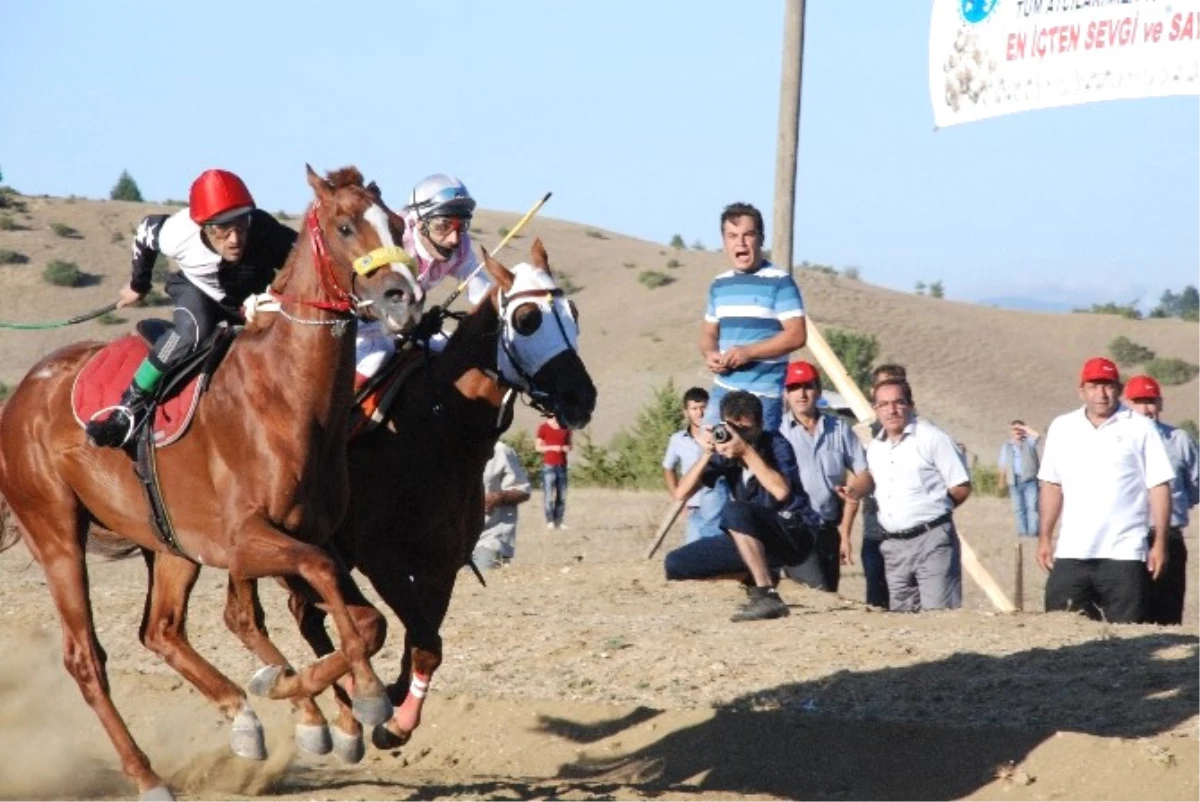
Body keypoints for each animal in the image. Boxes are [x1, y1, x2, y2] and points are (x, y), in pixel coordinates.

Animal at [0, 164, 427, 802]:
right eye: (346, 226)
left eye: (398, 224)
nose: (404, 296)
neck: (284, 397)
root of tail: (23, 394)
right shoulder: (248, 539)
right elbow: (314, 596)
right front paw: (335, 697)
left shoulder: (307, 536)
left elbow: (365, 621)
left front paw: (312, 704)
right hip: (56, 535)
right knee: (86, 658)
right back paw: (148, 774)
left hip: (169, 544)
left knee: (161, 631)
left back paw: (243, 717)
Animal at [220, 236, 595, 758]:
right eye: (526, 319)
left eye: (573, 311)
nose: (581, 396)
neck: (438, 429)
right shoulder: (383, 558)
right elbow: (420, 638)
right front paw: (389, 714)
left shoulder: (442, 562)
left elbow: (424, 644)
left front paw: (395, 708)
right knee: (276, 617)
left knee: (306, 618)